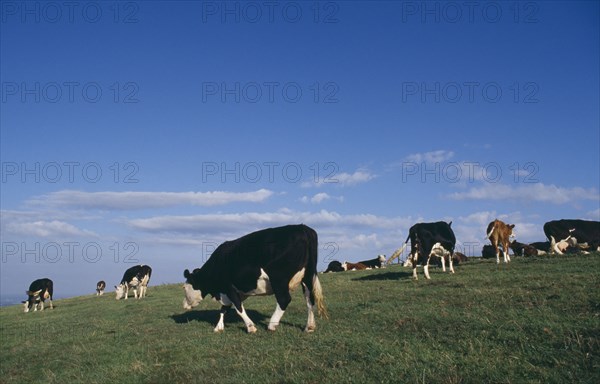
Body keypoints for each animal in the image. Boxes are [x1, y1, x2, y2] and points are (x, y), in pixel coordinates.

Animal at [182, 225, 328, 332]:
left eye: (184, 287)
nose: (183, 304)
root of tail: (303, 228)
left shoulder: (229, 287)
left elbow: (238, 308)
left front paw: (251, 327)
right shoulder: (232, 292)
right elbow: (224, 309)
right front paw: (219, 327)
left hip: (279, 278)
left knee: (284, 299)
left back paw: (272, 325)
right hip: (307, 276)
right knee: (310, 299)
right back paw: (309, 327)